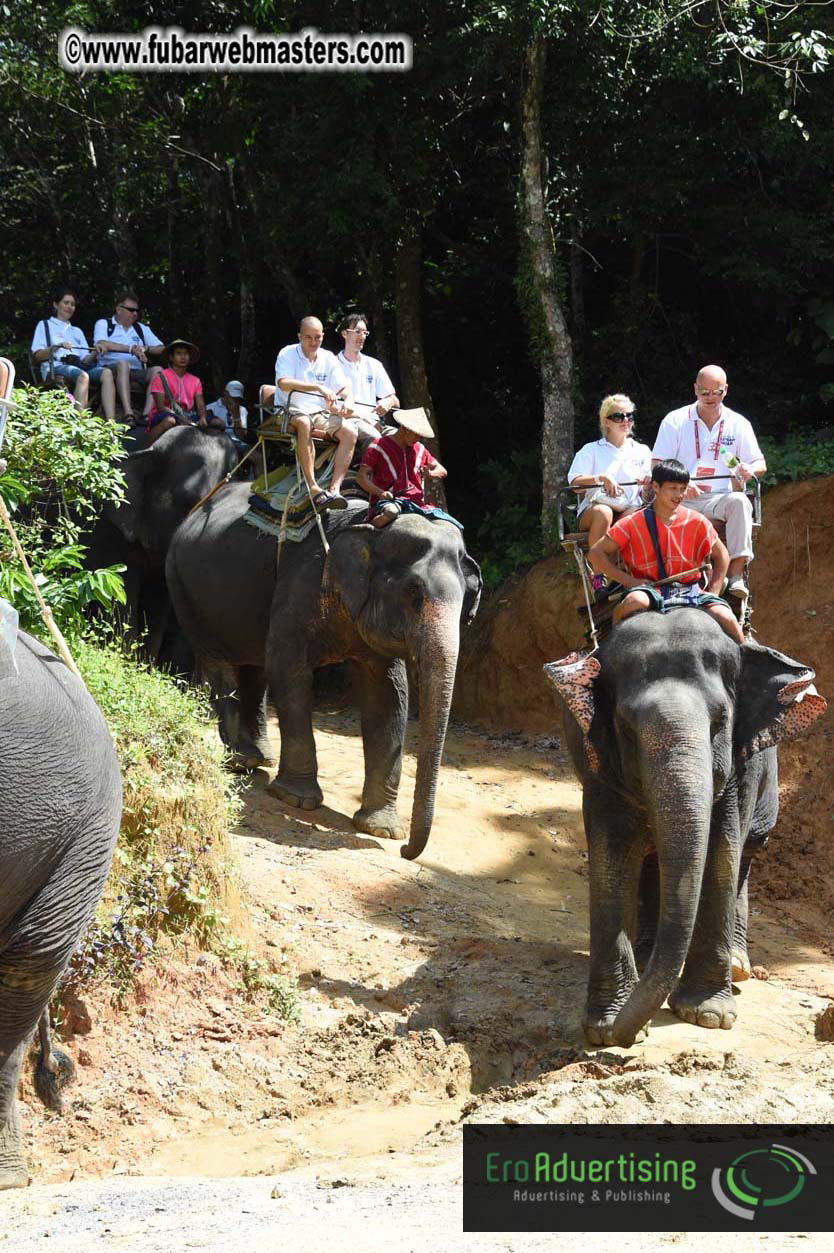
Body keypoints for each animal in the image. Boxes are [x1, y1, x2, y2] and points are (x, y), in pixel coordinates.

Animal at [86, 425, 238, 667]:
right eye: (189, 501)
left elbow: (158, 601)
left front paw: (144, 666)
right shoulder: (105, 525)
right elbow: (117, 590)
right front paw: (126, 662)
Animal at [165, 486, 482, 860]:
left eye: (467, 601)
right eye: (413, 593)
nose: (406, 850)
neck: (372, 527)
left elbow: (388, 695)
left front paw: (381, 828)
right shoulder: (301, 587)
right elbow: (288, 668)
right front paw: (296, 799)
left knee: (255, 668)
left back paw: (261, 757)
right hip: (187, 593)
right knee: (224, 666)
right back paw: (240, 760)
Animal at [545, 610, 826, 1049]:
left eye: (720, 723)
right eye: (626, 728)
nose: (626, 1037)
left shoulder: (738, 770)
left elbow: (721, 853)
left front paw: (707, 1016)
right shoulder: (598, 765)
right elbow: (612, 861)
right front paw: (605, 1027)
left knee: (747, 852)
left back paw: (737, 966)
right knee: (651, 858)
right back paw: (647, 956)